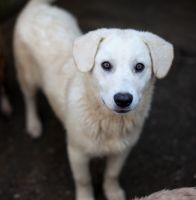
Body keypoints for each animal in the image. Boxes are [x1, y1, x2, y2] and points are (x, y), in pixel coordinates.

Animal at [13, 0, 173, 200]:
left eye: (139, 67)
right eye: (106, 65)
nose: (123, 99)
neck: (110, 122)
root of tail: (37, 7)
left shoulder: (122, 150)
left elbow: (112, 174)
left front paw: (112, 192)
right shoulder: (76, 153)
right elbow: (84, 180)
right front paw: (86, 196)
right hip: (27, 77)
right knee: (29, 99)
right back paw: (33, 124)